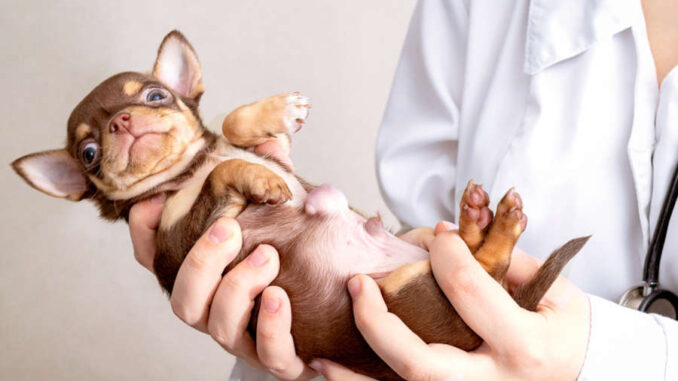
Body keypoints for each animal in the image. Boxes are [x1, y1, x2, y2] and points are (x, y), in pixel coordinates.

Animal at [10, 30, 588, 380]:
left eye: (155, 96)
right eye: (87, 153)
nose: (122, 122)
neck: (186, 172)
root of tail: (513, 303)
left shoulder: (254, 149)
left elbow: (234, 125)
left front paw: (280, 111)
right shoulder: (178, 240)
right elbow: (222, 175)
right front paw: (259, 181)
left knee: (476, 261)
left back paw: (476, 218)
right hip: (414, 294)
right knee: (482, 265)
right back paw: (489, 221)